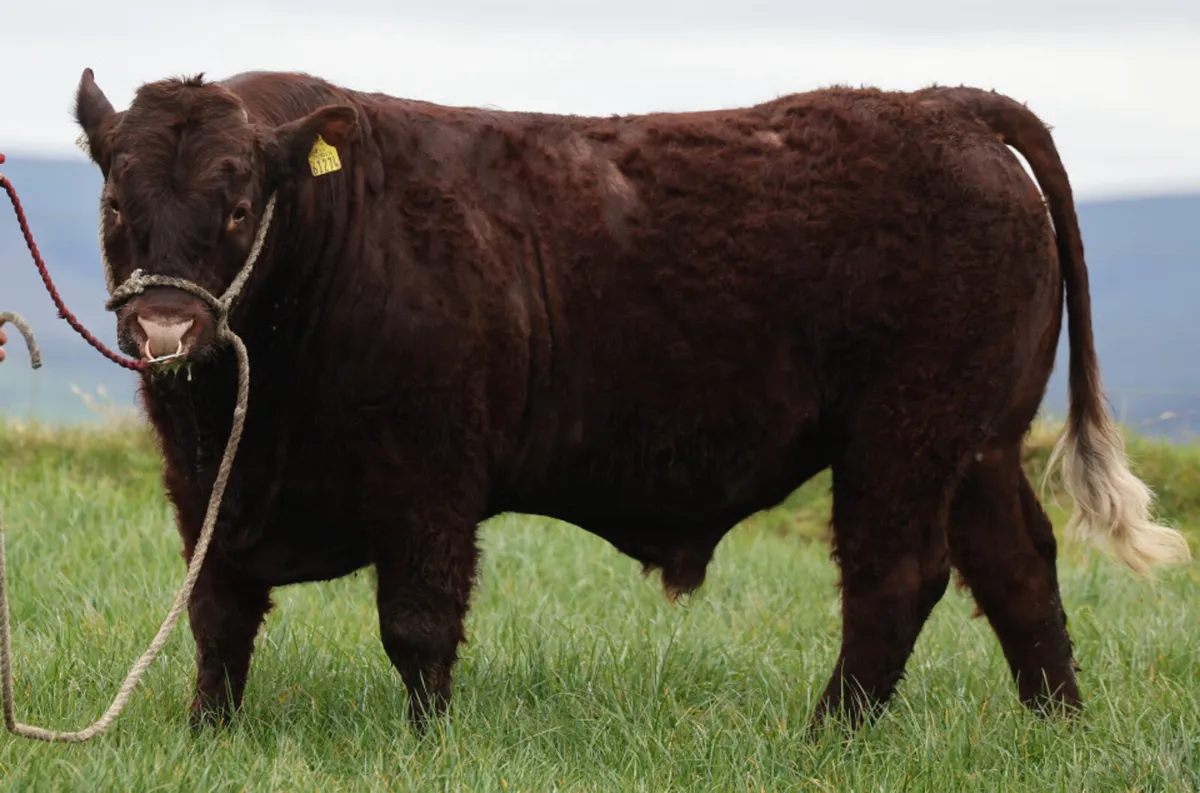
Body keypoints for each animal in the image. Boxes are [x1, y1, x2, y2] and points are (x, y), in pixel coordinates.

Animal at [70, 67, 1191, 735]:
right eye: (116, 200)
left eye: (237, 204)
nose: (166, 332)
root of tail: (945, 104)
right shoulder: (205, 484)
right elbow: (216, 613)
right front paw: (209, 735)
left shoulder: (432, 483)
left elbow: (417, 624)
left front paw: (427, 743)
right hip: (978, 444)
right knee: (1018, 569)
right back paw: (1057, 724)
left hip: (903, 437)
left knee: (897, 578)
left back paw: (829, 736)